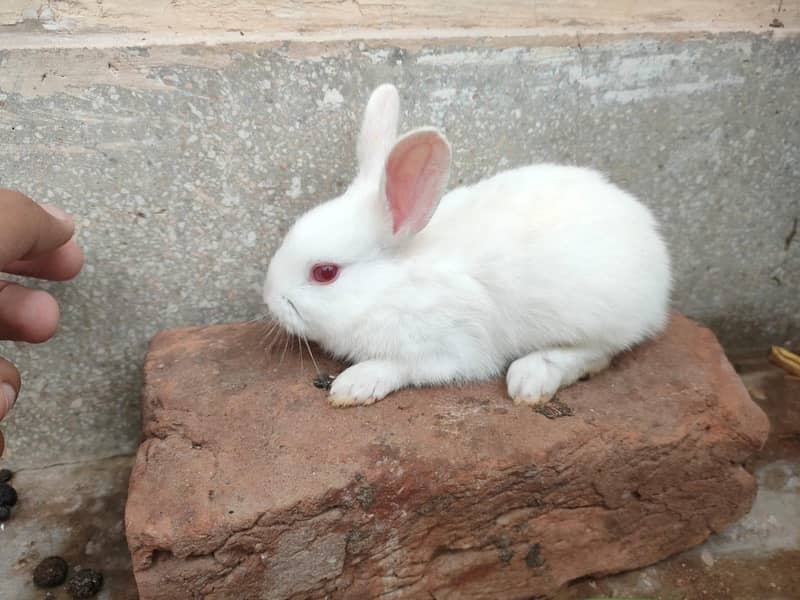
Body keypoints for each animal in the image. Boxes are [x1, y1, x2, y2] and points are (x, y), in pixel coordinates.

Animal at [263, 83, 671, 408]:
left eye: (325, 272)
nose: (269, 299)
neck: (393, 287)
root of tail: (655, 249)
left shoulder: (449, 346)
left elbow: (400, 365)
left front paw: (354, 385)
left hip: (594, 313)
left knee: (601, 351)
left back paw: (531, 377)